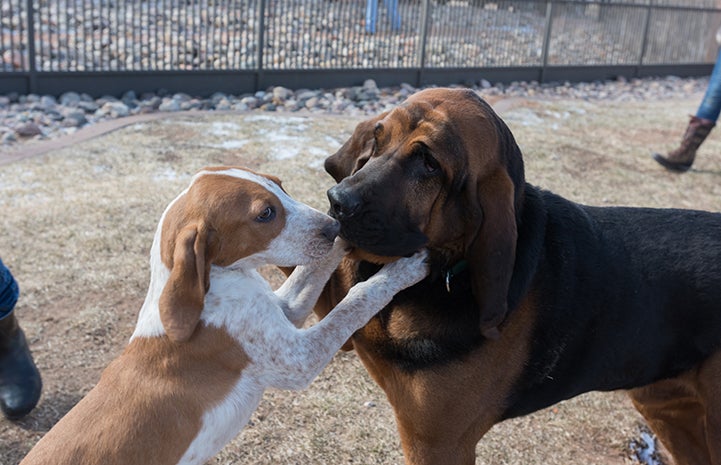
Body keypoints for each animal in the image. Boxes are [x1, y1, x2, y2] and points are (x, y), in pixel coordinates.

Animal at [21, 165, 428, 462]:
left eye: (280, 184)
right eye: (266, 214)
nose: (333, 225)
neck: (217, 282)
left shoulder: (283, 311)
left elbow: (310, 270)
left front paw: (348, 238)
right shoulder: (298, 358)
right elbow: (358, 299)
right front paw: (402, 271)